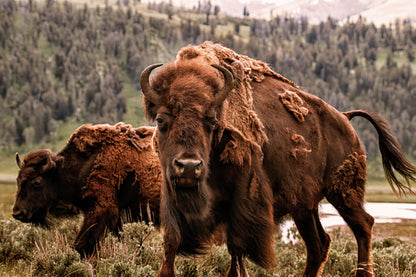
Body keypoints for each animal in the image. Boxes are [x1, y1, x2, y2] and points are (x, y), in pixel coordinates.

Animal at [141, 41, 416, 276]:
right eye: (161, 120)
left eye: (212, 121)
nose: (188, 167)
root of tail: (346, 119)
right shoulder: (172, 192)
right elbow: (172, 240)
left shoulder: (243, 200)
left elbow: (236, 247)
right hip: (305, 207)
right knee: (319, 244)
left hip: (343, 192)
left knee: (363, 226)